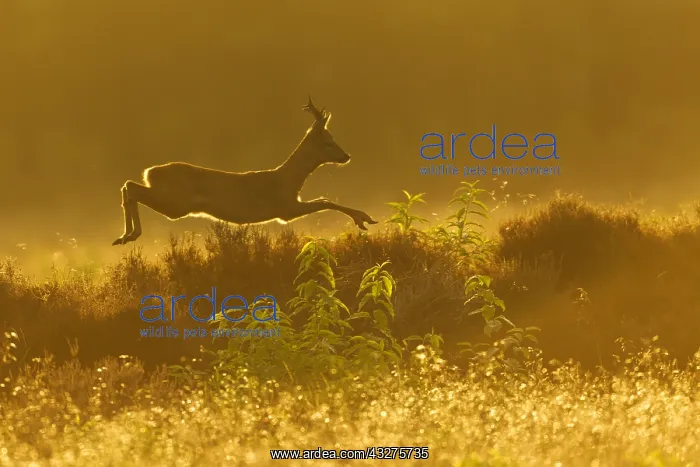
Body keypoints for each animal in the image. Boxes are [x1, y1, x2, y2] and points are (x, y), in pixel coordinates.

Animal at [112, 96, 378, 245]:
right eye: (328, 141)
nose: (346, 156)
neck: (288, 180)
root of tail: (150, 171)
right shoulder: (286, 209)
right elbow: (325, 200)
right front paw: (363, 218)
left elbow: (324, 199)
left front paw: (363, 219)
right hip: (175, 203)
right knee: (131, 188)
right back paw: (129, 235)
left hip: (172, 201)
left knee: (128, 186)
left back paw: (124, 236)